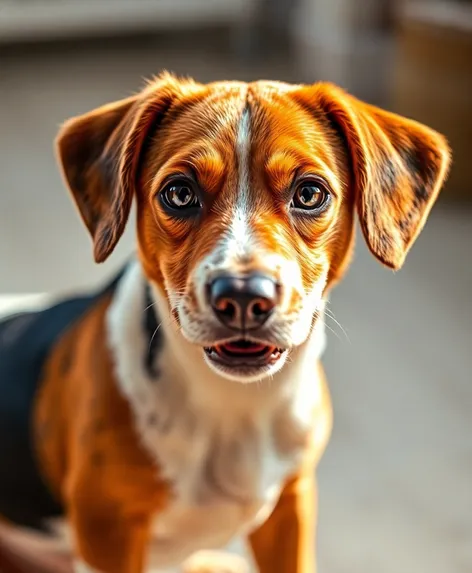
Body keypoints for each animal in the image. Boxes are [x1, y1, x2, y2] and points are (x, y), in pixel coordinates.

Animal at [0, 72, 450, 572]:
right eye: (179, 193)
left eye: (310, 194)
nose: (242, 296)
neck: (237, 403)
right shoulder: (107, 528)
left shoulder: (291, 508)